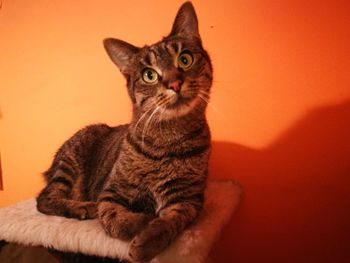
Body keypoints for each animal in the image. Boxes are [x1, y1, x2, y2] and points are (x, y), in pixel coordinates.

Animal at [37, 2, 213, 262]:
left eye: (185, 59)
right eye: (149, 75)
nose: (174, 84)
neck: (168, 138)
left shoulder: (188, 199)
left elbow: (170, 222)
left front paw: (148, 241)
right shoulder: (110, 192)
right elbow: (113, 219)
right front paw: (140, 224)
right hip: (70, 162)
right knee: (44, 199)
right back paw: (82, 207)